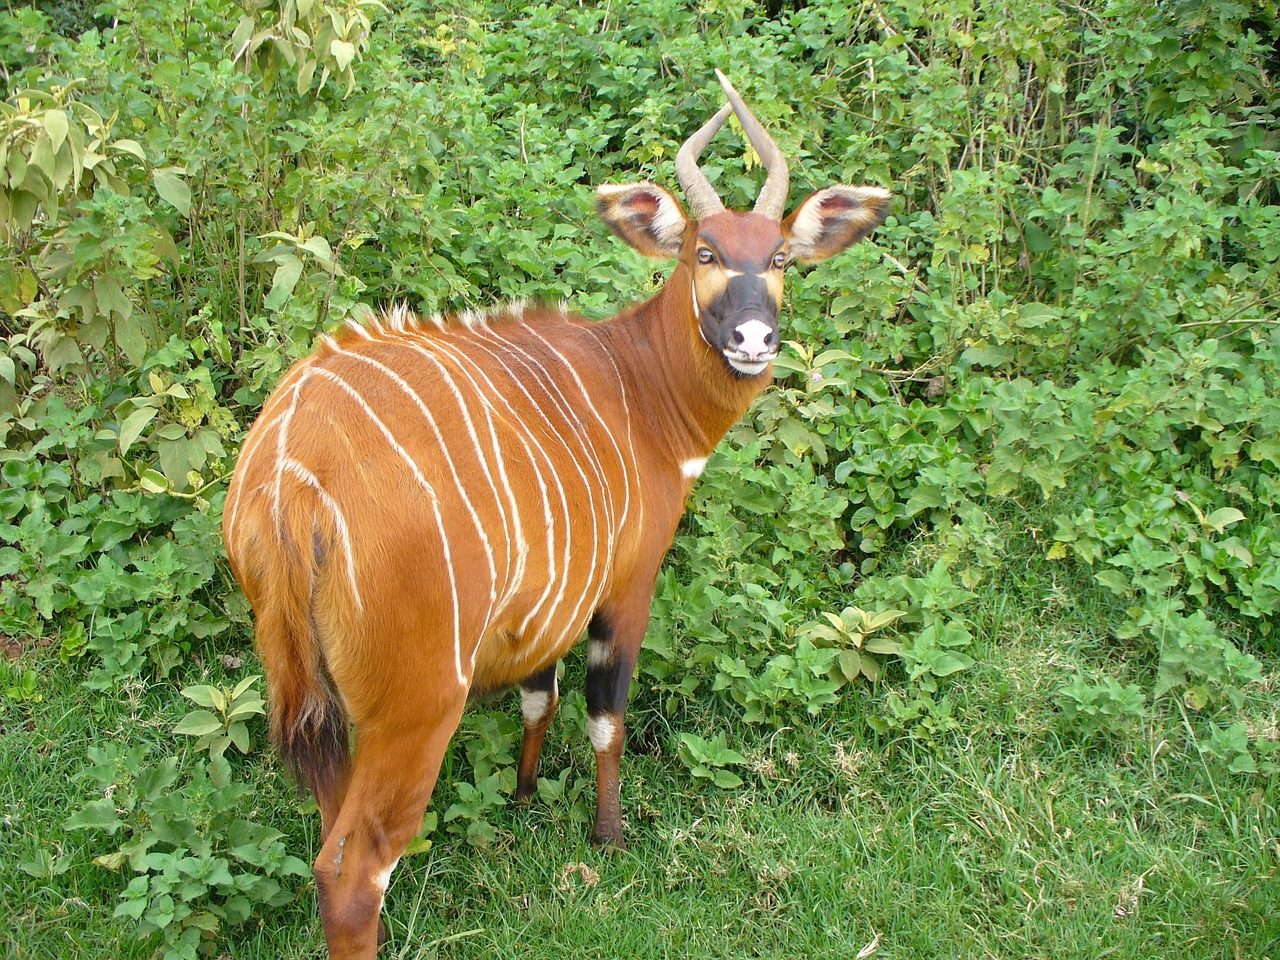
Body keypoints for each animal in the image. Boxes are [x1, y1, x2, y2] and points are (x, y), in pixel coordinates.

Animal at [222, 70, 890, 958]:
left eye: (778, 256)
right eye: (703, 252)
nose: (753, 339)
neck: (639, 386)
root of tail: (288, 482)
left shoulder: (544, 606)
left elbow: (539, 697)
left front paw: (523, 798)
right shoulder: (626, 586)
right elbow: (607, 717)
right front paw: (608, 839)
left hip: (320, 695)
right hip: (418, 703)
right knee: (352, 872)